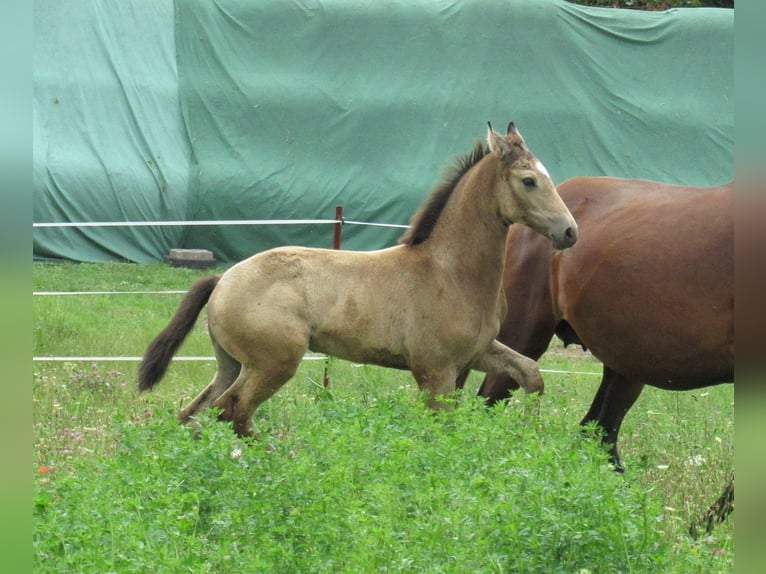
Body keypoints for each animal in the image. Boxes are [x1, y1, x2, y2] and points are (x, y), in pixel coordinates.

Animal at [141, 122, 580, 436]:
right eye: (528, 180)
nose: (570, 232)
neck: (449, 270)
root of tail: (223, 278)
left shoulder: (478, 351)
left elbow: (531, 374)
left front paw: (528, 433)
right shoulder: (435, 371)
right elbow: (442, 429)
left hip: (232, 363)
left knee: (195, 412)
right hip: (274, 362)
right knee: (232, 412)